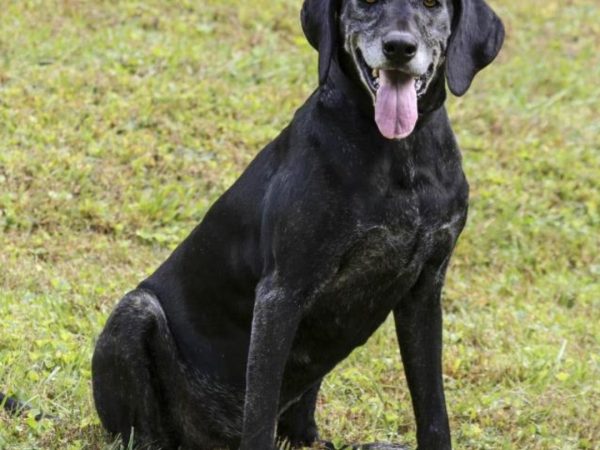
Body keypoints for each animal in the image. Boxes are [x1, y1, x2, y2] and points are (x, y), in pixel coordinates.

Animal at [91, 0, 504, 450]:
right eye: (366, 3)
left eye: (431, 4)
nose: (398, 47)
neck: (399, 153)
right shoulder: (281, 292)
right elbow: (259, 411)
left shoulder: (425, 288)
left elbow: (432, 408)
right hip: (137, 312)